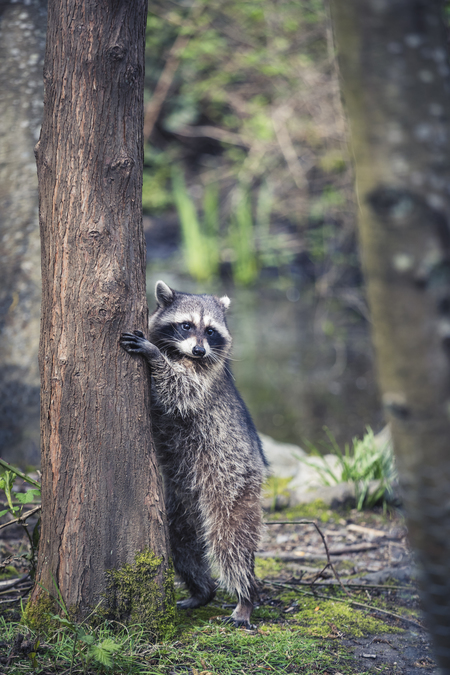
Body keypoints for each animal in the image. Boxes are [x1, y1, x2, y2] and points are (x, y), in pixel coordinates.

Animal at [120, 280, 268, 628]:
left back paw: (246, 597)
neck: (182, 352)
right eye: (186, 325)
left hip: (233, 484)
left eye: (210, 331)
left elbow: (179, 388)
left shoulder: (203, 379)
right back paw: (203, 590)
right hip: (181, 500)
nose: (199, 351)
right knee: (181, 544)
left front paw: (154, 356)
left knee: (231, 543)